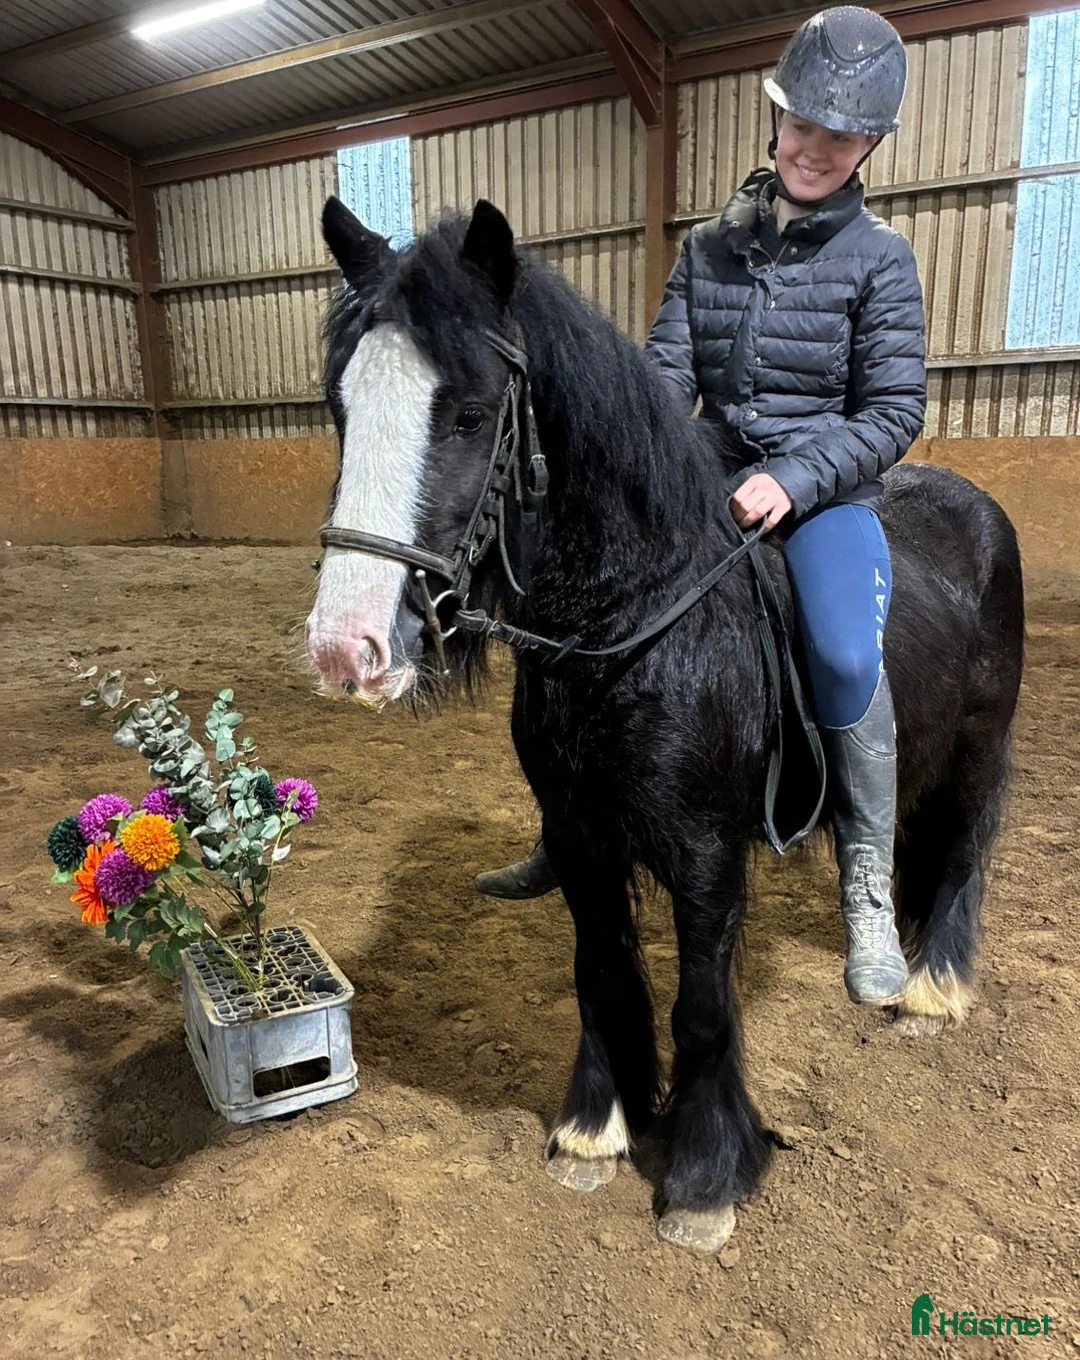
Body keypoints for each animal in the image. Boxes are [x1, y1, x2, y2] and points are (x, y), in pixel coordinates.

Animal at [305, 195, 1024, 1255]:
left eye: (470, 414)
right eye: (343, 410)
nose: (344, 648)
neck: (633, 630)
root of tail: (977, 510)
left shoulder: (704, 851)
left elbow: (702, 1006)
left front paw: (704, 1177)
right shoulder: (581, 836)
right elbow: (601, 971)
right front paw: (596, 1130)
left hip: (980, 747)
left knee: (964, 851)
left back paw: (927, 986)